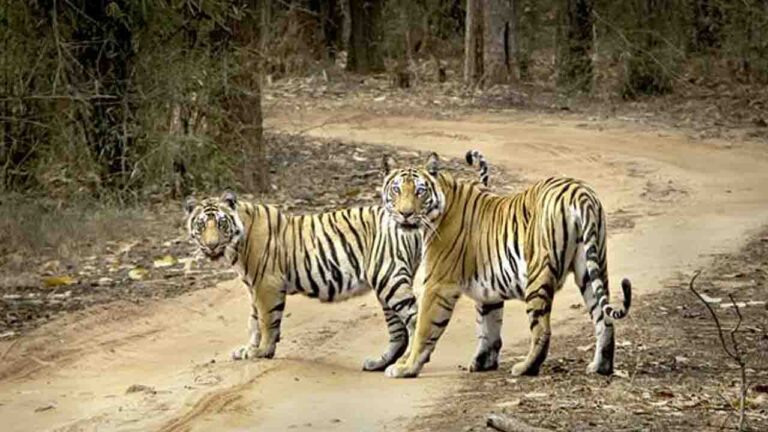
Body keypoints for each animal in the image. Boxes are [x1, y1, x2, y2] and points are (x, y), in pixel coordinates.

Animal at [379, 150, 632, 379]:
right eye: (397, 189)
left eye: (420, 191)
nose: (405, 213)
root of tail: (579, 192)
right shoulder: (487, 289)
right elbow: (488, 326)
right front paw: (483, 363)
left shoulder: (438, 284)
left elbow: (423, 329)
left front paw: (405, 368)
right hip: (590, 268)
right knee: (604, 319)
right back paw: (600, 366)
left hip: (538, 274)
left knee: (542, 330)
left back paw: (525, 368)